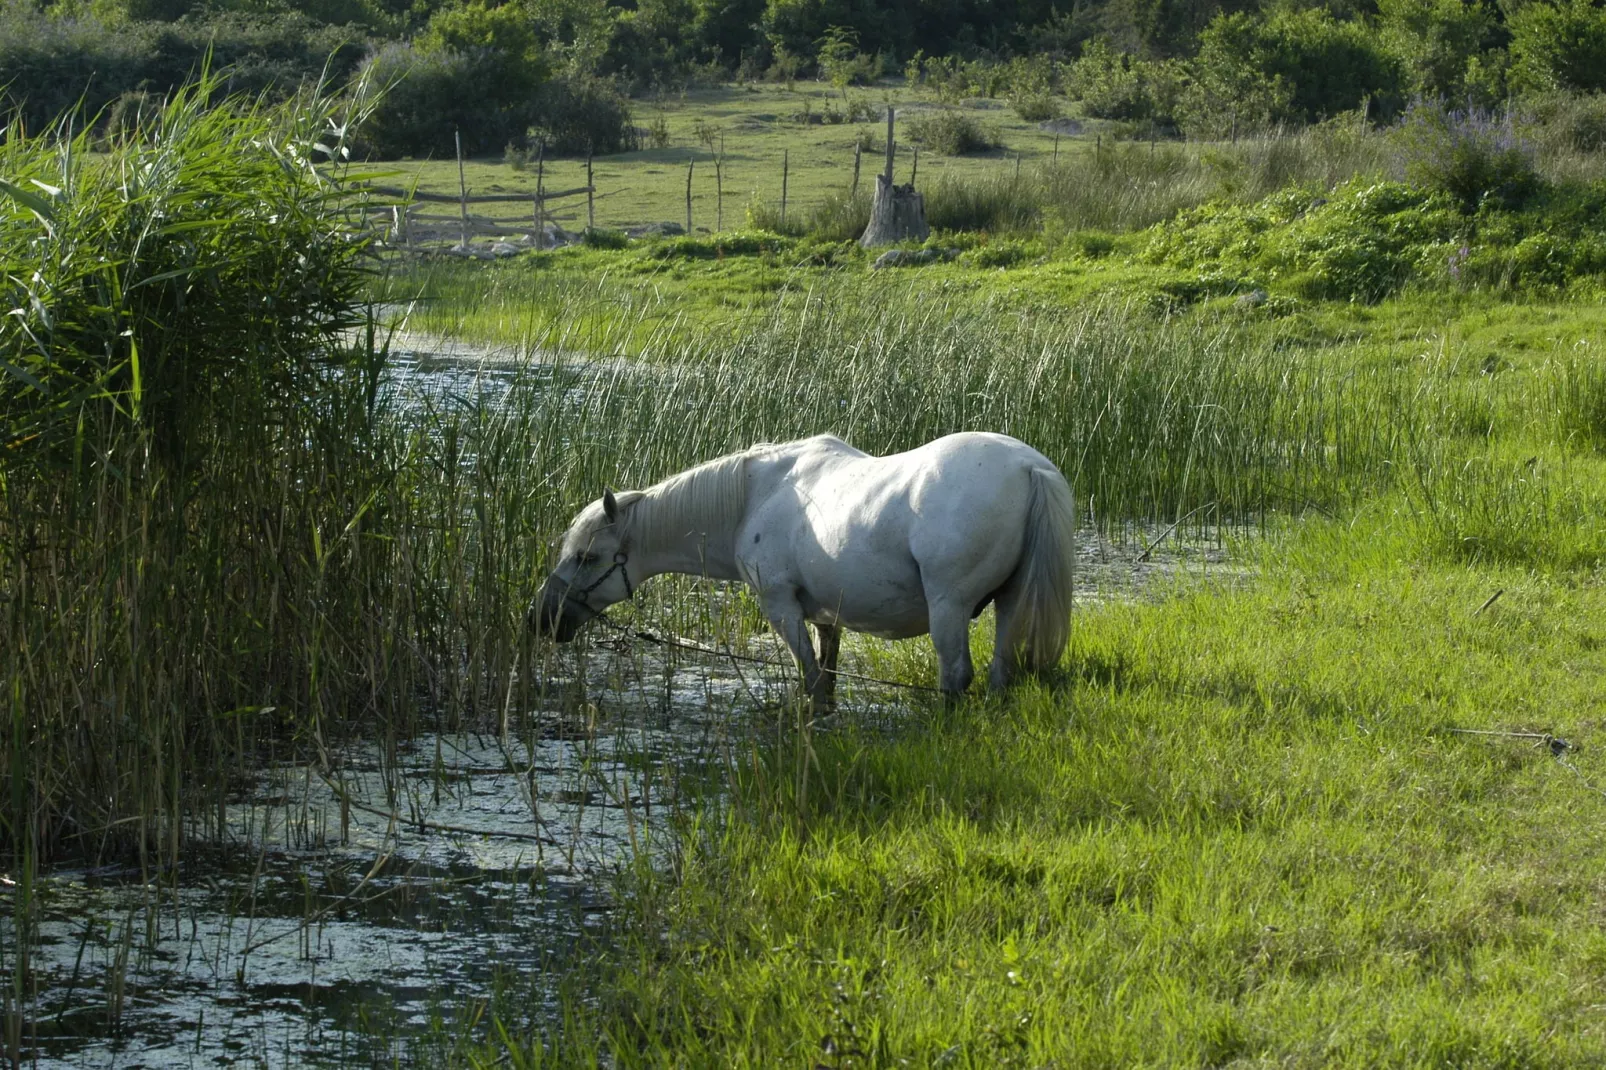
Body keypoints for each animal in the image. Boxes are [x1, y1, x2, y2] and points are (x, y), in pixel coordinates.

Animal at [533, 430, 1072, 700]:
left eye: (587, 557)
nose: (542, 617)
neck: (755, 495)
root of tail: (1030, 468)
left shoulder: (781, 606)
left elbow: (810, 679)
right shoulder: (825, 615)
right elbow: (826, 678)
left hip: (950, 607)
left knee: (956, 675)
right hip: (1009, 602)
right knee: (1000, 670)